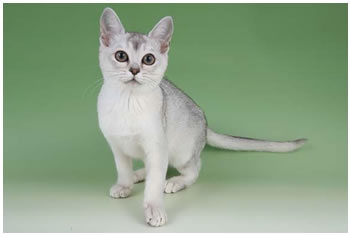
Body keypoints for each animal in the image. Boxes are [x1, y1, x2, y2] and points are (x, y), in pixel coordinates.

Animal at [96, 7, 306, 228]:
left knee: (191, 169)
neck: (127, 103)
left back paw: (174, 181)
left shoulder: (156, 144)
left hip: (181, 152)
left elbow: (154, 184)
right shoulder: (117, 146)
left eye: (148, 59)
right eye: (121, 56)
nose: (134, 70)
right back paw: (138, 174)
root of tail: (205, 125)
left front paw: (155, 209)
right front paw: (124, 186)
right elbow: (123, 170)